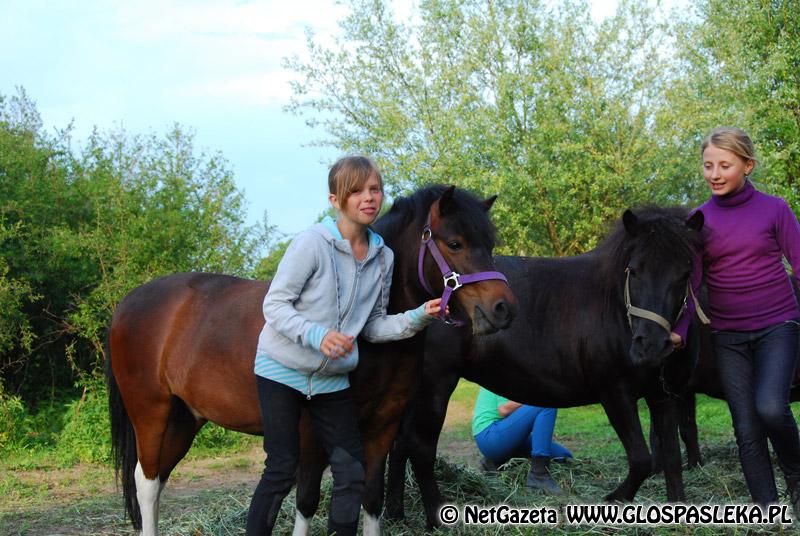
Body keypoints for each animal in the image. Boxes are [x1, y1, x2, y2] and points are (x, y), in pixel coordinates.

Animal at [109, 185, 516, 536]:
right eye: (455, 243)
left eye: (490, 244)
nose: (503, 308)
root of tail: (129, 303)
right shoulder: (310, 434)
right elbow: (306, 500)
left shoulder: (382, 427)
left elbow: (371, 499)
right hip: (152, 413)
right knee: (147, 483)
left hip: (184, 418)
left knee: (158, 479)